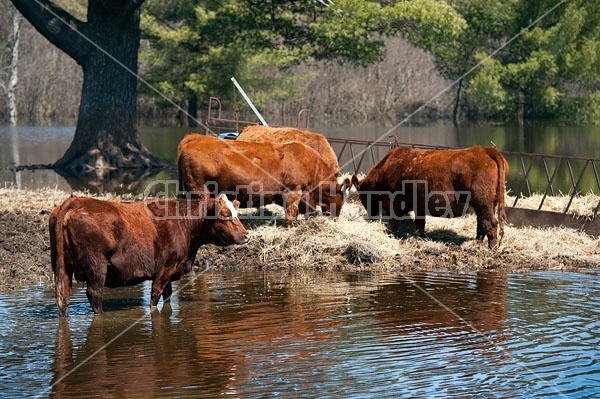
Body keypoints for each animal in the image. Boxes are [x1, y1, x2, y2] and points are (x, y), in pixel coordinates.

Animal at [49, 192, 248, 318]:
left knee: (63, 296)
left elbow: (167, 295)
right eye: (225, 214)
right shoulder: (166, 267)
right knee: (94, 294)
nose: (246, 235)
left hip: (62, 266)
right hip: (96, 266)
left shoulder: (171, 271)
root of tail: (76, 201)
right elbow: (155, 295)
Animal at [176, 134, 350, 227]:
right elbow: (291, 213)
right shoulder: (293, 191)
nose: (336, 219)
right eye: (341, 199)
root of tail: (195, 138)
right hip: (200, 190)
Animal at [354, 145, 508, 248]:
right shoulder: (419, 205)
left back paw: (491, 247)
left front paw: (392, 235)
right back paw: (477, 242)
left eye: (362, 195)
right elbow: (420, 224)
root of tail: (484, 149)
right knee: (482, 222)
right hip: (486, 204)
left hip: (483, 202)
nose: (371, 213)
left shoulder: (394, 201)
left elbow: (394, 221)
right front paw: (420, 237)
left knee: (490, 223)